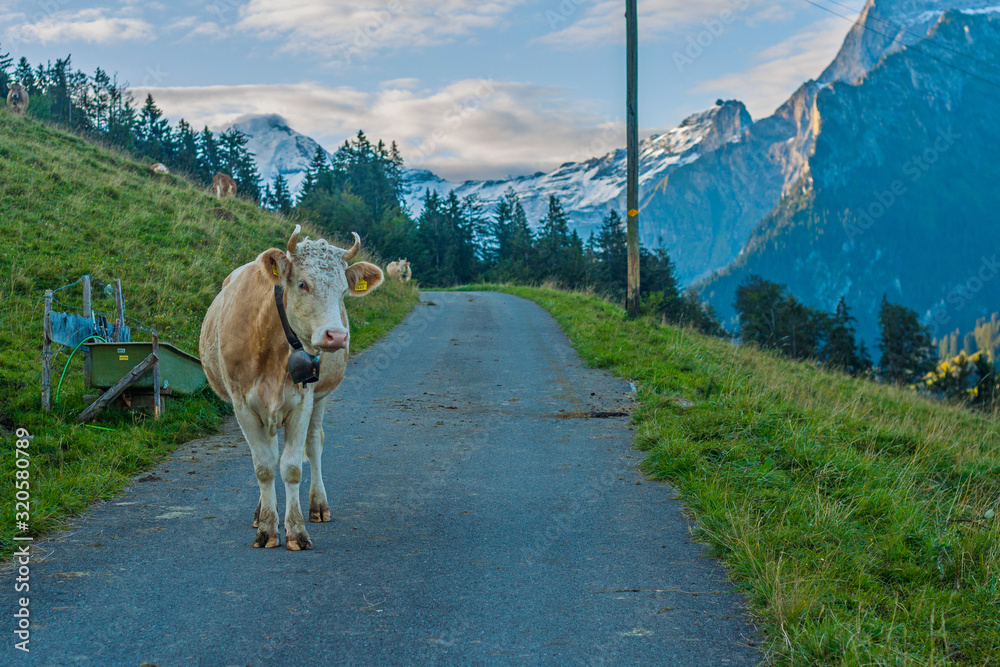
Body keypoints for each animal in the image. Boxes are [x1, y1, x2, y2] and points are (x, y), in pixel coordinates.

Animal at [199, 227, 382, 552]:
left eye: (343, 291)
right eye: (302, 283)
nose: (337, 336)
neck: (270, 337)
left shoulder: (303, 400)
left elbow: (293, 466)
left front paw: (296, 530)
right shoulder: (241, 405)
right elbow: (264, 466)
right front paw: (267, 528)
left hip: (320, 398)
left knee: (314, 444)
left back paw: (318, 505)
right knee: (271, 452)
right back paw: (263, 511)